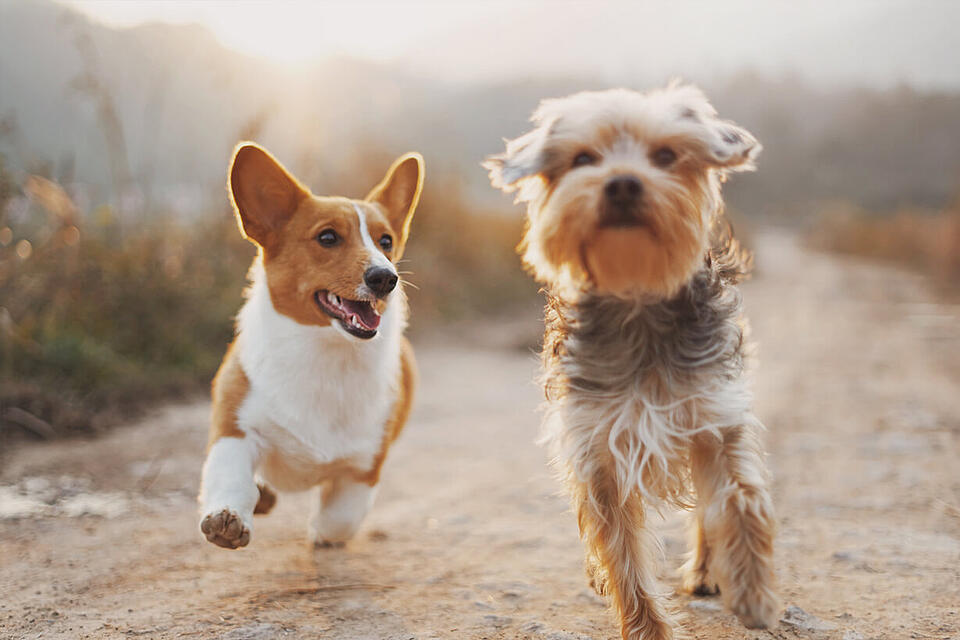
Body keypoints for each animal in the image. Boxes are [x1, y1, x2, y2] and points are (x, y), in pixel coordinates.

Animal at [201, 144, 422, 552]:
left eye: (385, 242)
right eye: (328, 238)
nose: (386, 278)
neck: (326, 353)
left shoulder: (364, 467)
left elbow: (340, 519)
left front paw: (321, 532)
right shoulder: (235, 429)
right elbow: (231, 477)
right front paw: (227, 518)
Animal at [488, 84, 780, 636]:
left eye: (666, 156)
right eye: (583, 159)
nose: (622, 183)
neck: (637, 297)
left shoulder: (715, 415)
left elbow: (740, 497)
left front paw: (753, 589)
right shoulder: (598, 448)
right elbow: (622, 553)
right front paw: (648, 627)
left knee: (707, 509)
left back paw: (708, 570)